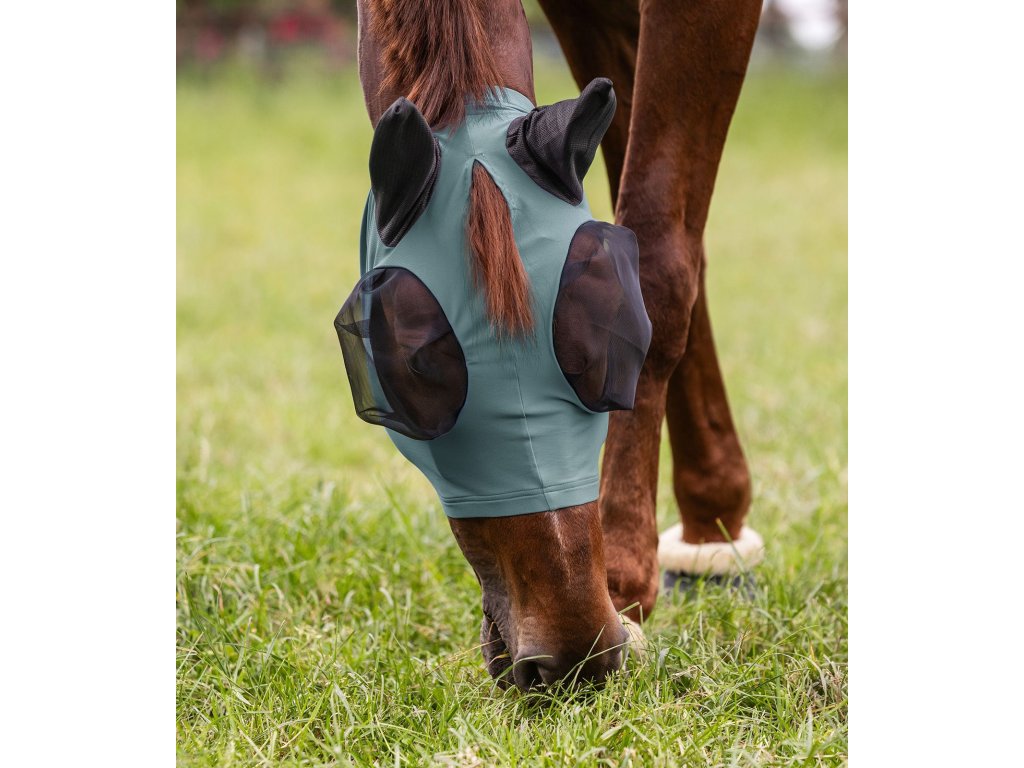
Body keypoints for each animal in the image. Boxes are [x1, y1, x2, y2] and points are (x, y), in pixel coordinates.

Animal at [349, 0, 764, 691]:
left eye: (612, 332)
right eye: (415, 367)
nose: (574, 655)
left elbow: (662, 253)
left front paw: (626, 574)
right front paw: (710, 518)